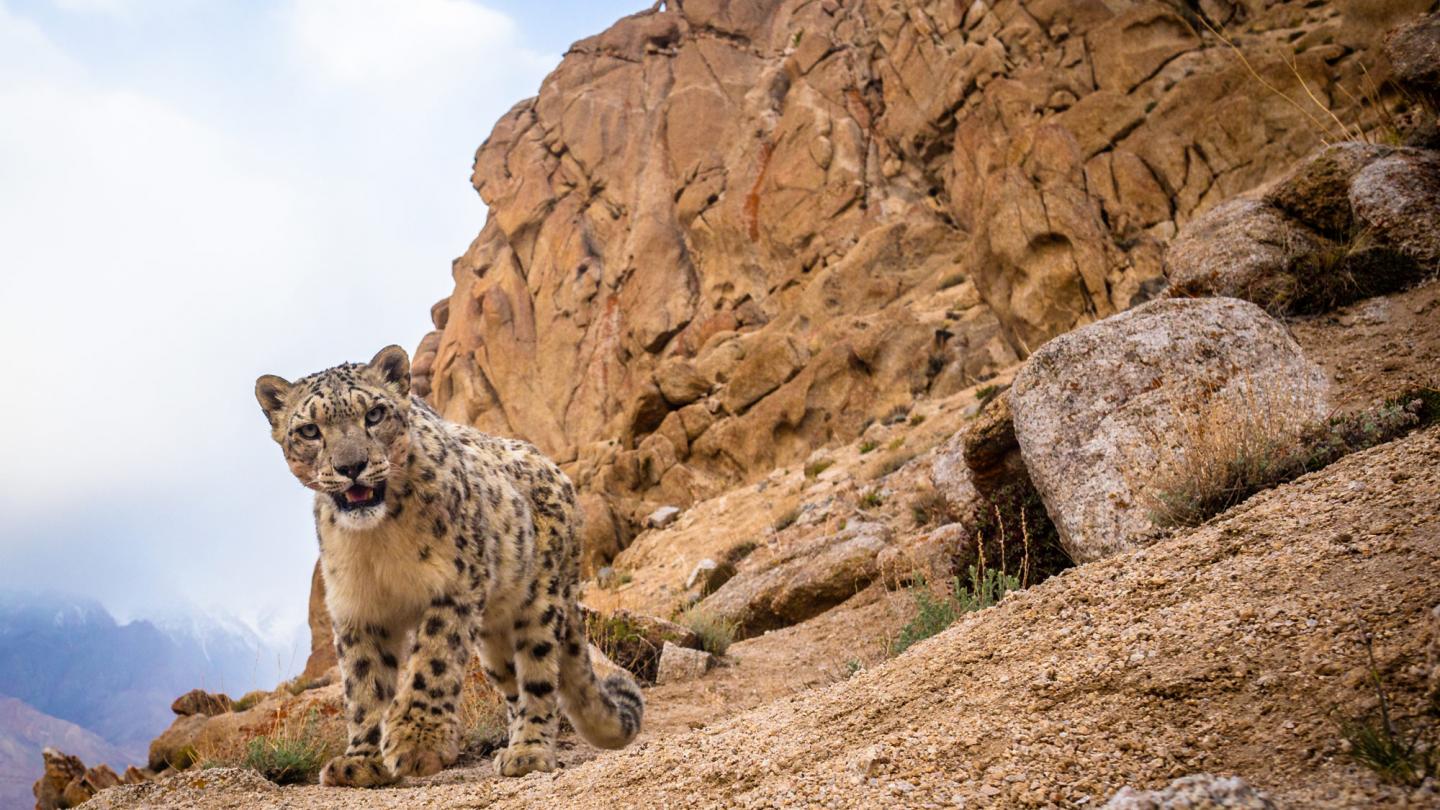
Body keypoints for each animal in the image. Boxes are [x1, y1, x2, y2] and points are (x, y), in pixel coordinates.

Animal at [254, 345, 643, 787]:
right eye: (309, 431)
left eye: (374, 414)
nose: (351, 466)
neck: (377, 540)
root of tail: (559, 474)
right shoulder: (358, 609)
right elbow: (364, 684)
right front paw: (360, 761)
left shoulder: (453, 583)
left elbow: (432, 659)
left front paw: (416, 743)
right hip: (493, 637)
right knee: (512, 687)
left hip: (540, 602)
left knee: (539, 678)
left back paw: (528, 752)